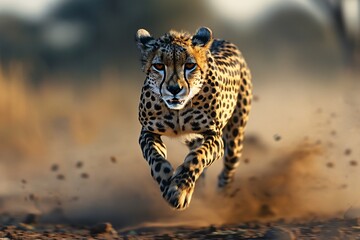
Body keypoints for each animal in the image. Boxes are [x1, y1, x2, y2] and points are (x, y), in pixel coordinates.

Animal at [136, 26, 253, 210]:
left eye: (190, 65)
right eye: (159, 66)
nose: (174, 89)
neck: (178, 109)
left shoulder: (214, 136)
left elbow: (198, 157)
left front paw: (180, 189)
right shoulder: (148, 131)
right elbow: (156, 158)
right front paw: (167, 181)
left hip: (235, 139)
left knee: (226, 172)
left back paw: (222, 199)